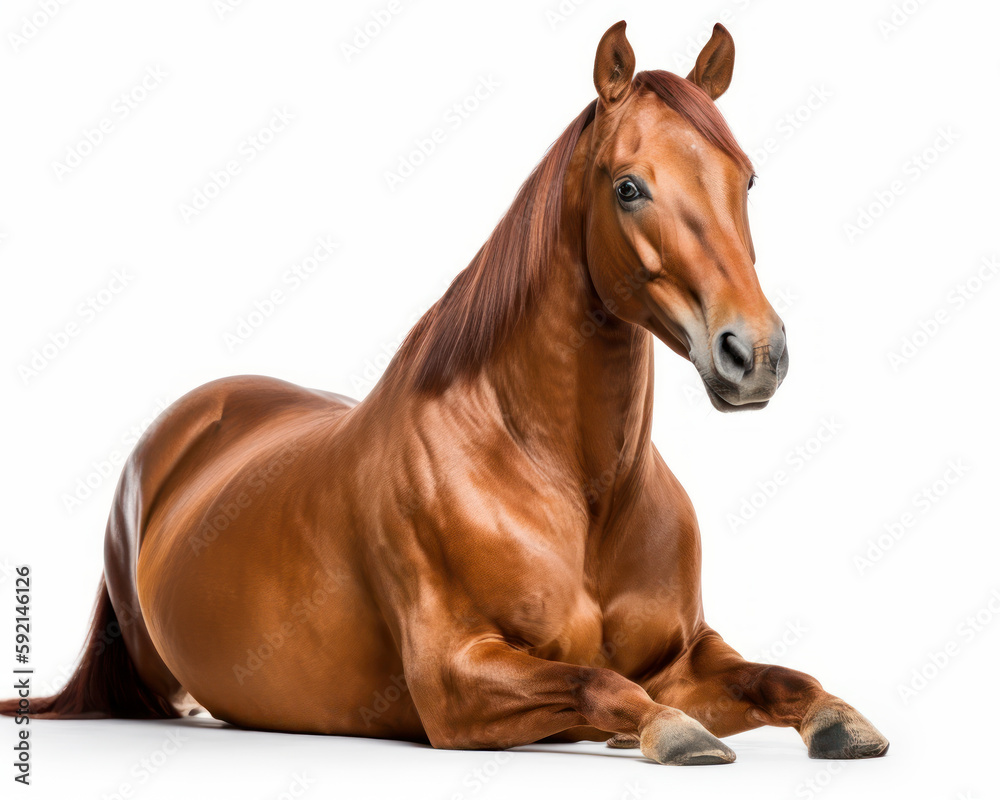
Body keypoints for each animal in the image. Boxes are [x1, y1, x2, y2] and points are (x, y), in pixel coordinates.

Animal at [2, 21, 888, 765]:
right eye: (629, 187)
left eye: (747, 180)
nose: (756, 354)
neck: (575, 489)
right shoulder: (456, 681)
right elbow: (602, 684)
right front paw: (670, 734)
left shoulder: (687, 654)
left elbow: (777, 678)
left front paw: (840, 720)